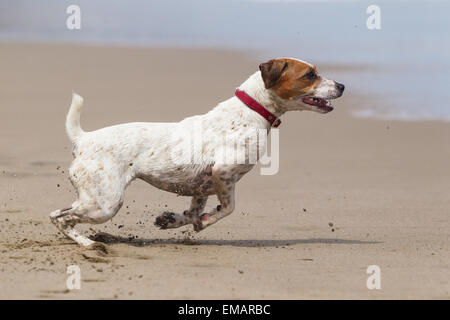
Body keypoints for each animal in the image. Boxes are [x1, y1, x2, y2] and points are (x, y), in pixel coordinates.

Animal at [50, 58, 344, 248]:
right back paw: (88, 244)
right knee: (60, 217)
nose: (342, 86)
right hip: (106, 204)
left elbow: (192, 213)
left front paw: (172, 220)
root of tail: (84, 138)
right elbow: (228, 208)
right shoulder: (223, 172)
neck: (251, 111)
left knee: (59, 214)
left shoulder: (201, 187)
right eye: (310, 74)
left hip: (94, 200)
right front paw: (206, 220)